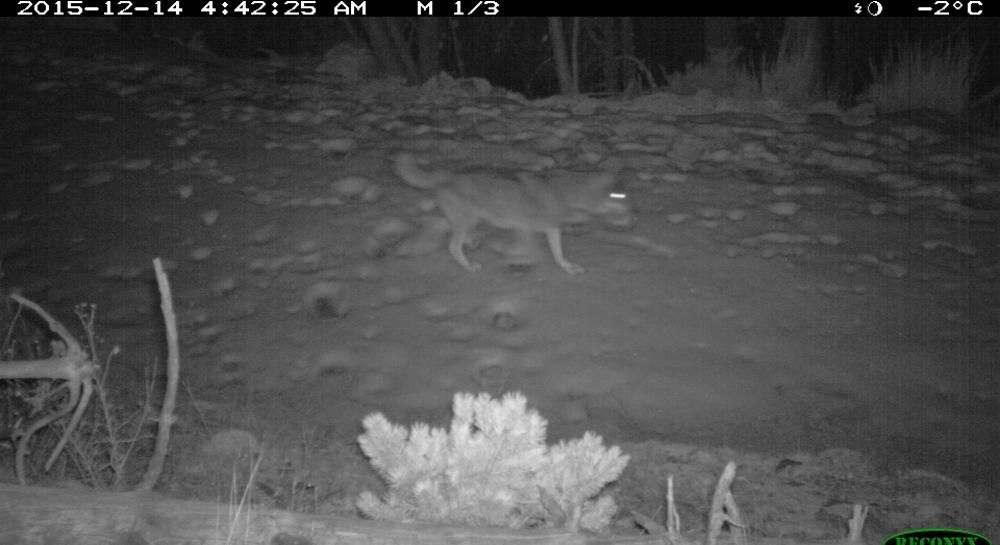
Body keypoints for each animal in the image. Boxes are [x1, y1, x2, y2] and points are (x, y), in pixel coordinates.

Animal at [392, 152, 632, 272]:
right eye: (618, 196)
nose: (634, 214)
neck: (562, 192)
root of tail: (449, 175)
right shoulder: (525, 229)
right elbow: (532, 252)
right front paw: (516, 260)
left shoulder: (551, 229)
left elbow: (558, 254)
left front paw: (567, 267)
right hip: (468, 219)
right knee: (453, 245)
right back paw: (469, 265)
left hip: (471, 218)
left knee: (453, 234)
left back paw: (471, 243)